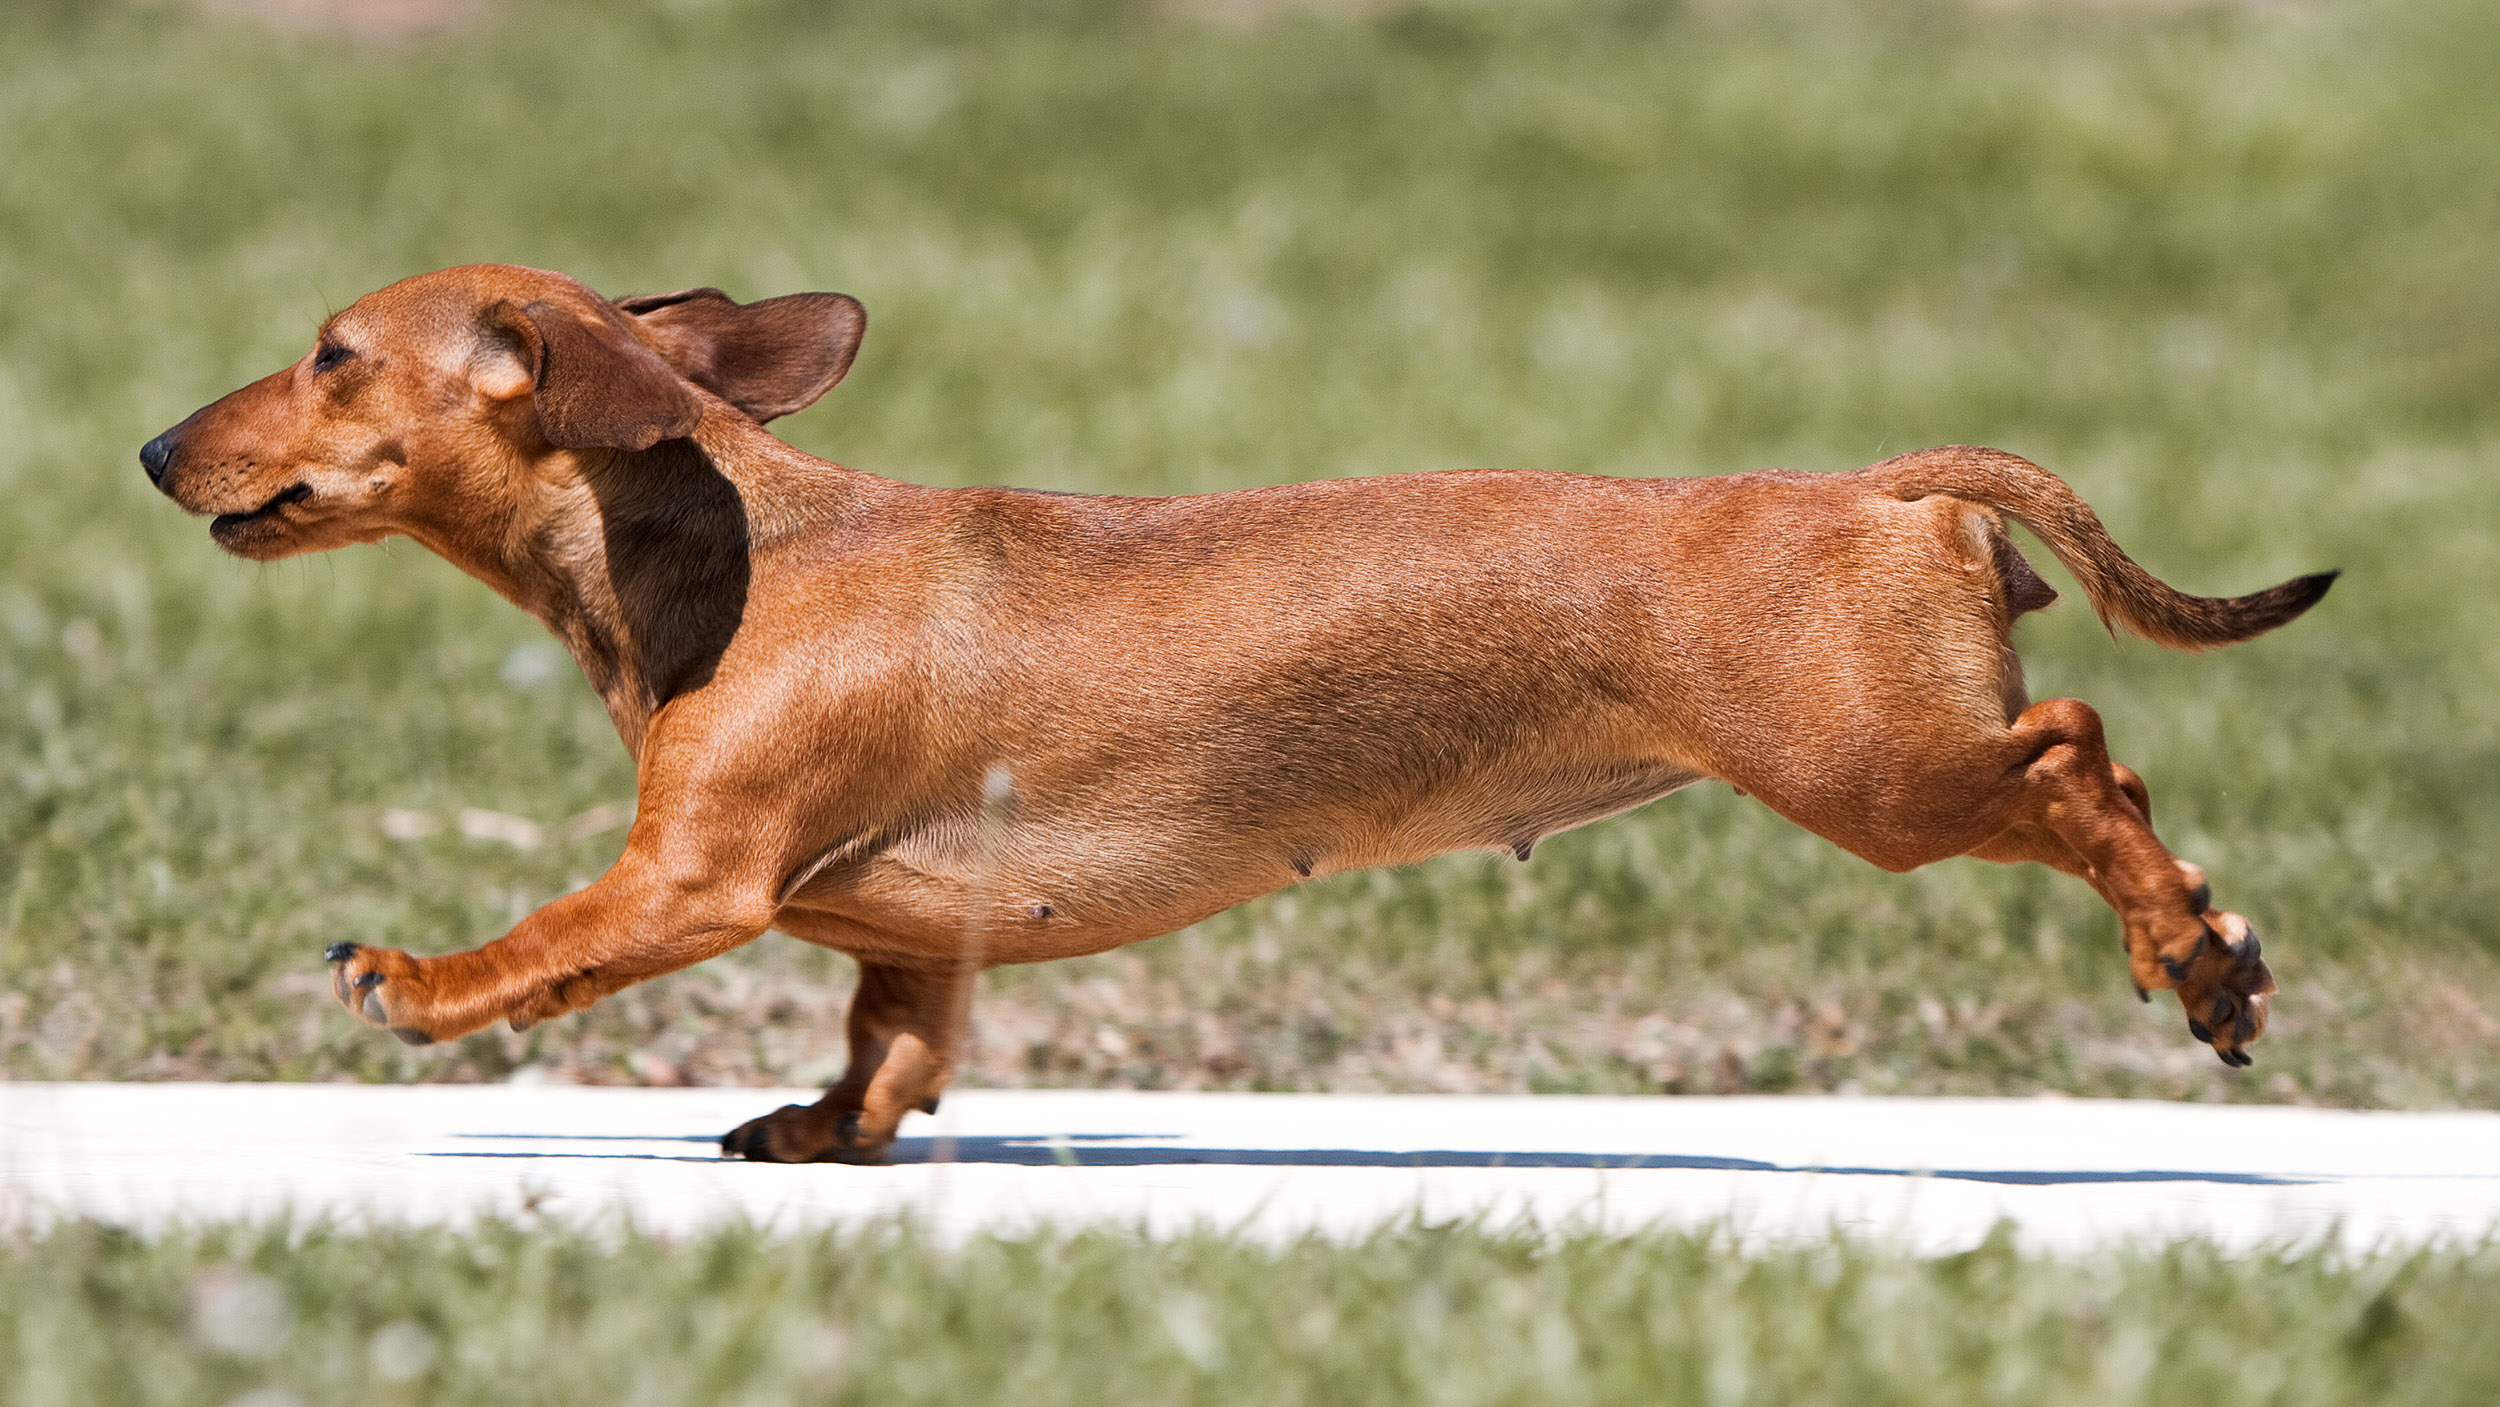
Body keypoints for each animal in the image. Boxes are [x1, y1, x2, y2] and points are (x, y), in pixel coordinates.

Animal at [136, 264, 2320, 1169]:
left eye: (330, 354)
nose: (155, 445)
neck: (733, 543)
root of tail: (1869, 485)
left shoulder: (695, 873)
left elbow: (547, 944)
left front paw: (414, 980)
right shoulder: (904, 928)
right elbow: (889, 1044)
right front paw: (830, 1132)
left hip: (1881, 772)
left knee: (2081, 757)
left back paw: (2196, 948)